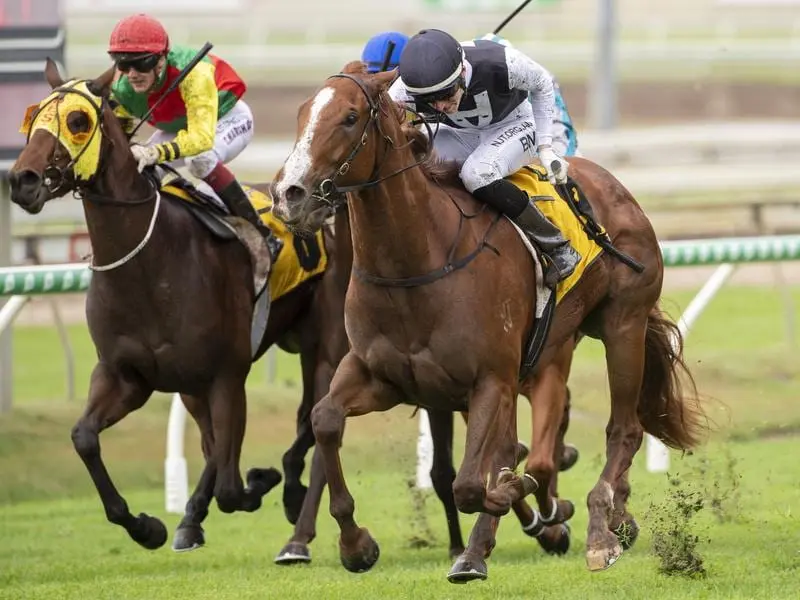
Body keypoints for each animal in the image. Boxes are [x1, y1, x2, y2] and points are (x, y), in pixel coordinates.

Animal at [270, 64, 708, 580]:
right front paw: (355, 544)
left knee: (623, 429)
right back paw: (613, 518)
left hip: (623, 325)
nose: (288, 194)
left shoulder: (490, 380)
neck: (419, 261)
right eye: (302, 112)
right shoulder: (380, 376)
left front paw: (507, 520)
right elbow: (325, 420)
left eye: (350, 117)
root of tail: (613, 185)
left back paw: (600, 529)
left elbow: (475, 481)